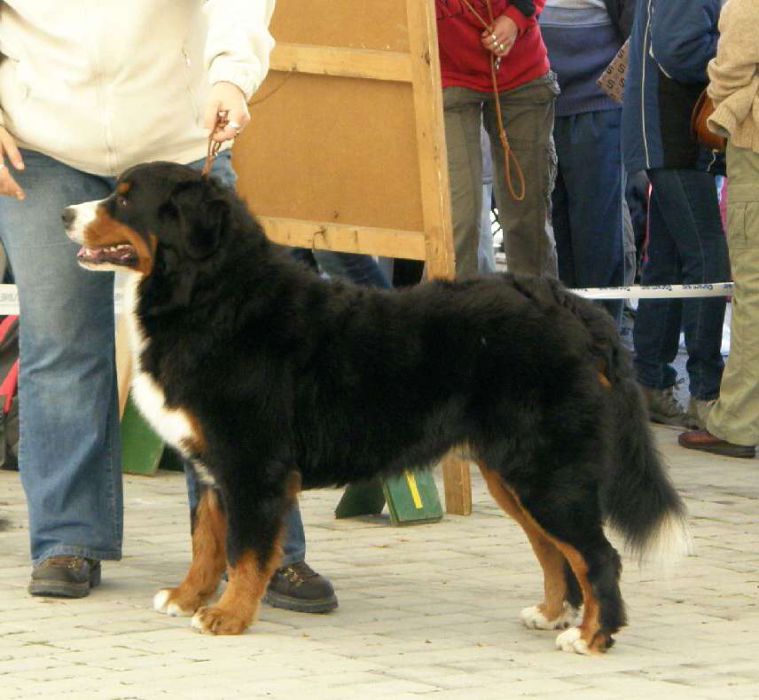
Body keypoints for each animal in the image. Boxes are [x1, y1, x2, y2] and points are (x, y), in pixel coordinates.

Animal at [62, 161, 692, 652]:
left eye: (125, 198)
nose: (66, 214)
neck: (212, 295)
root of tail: (567, 302)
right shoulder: (216, 464)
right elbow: (207, 541)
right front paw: (187, 595)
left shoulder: (252, 464)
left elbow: (245, 551)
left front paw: (227, 616)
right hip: (513, 472)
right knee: (555, 551)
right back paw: (553, 614)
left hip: (547, 470)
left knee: (597, 556)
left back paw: (592, 636)